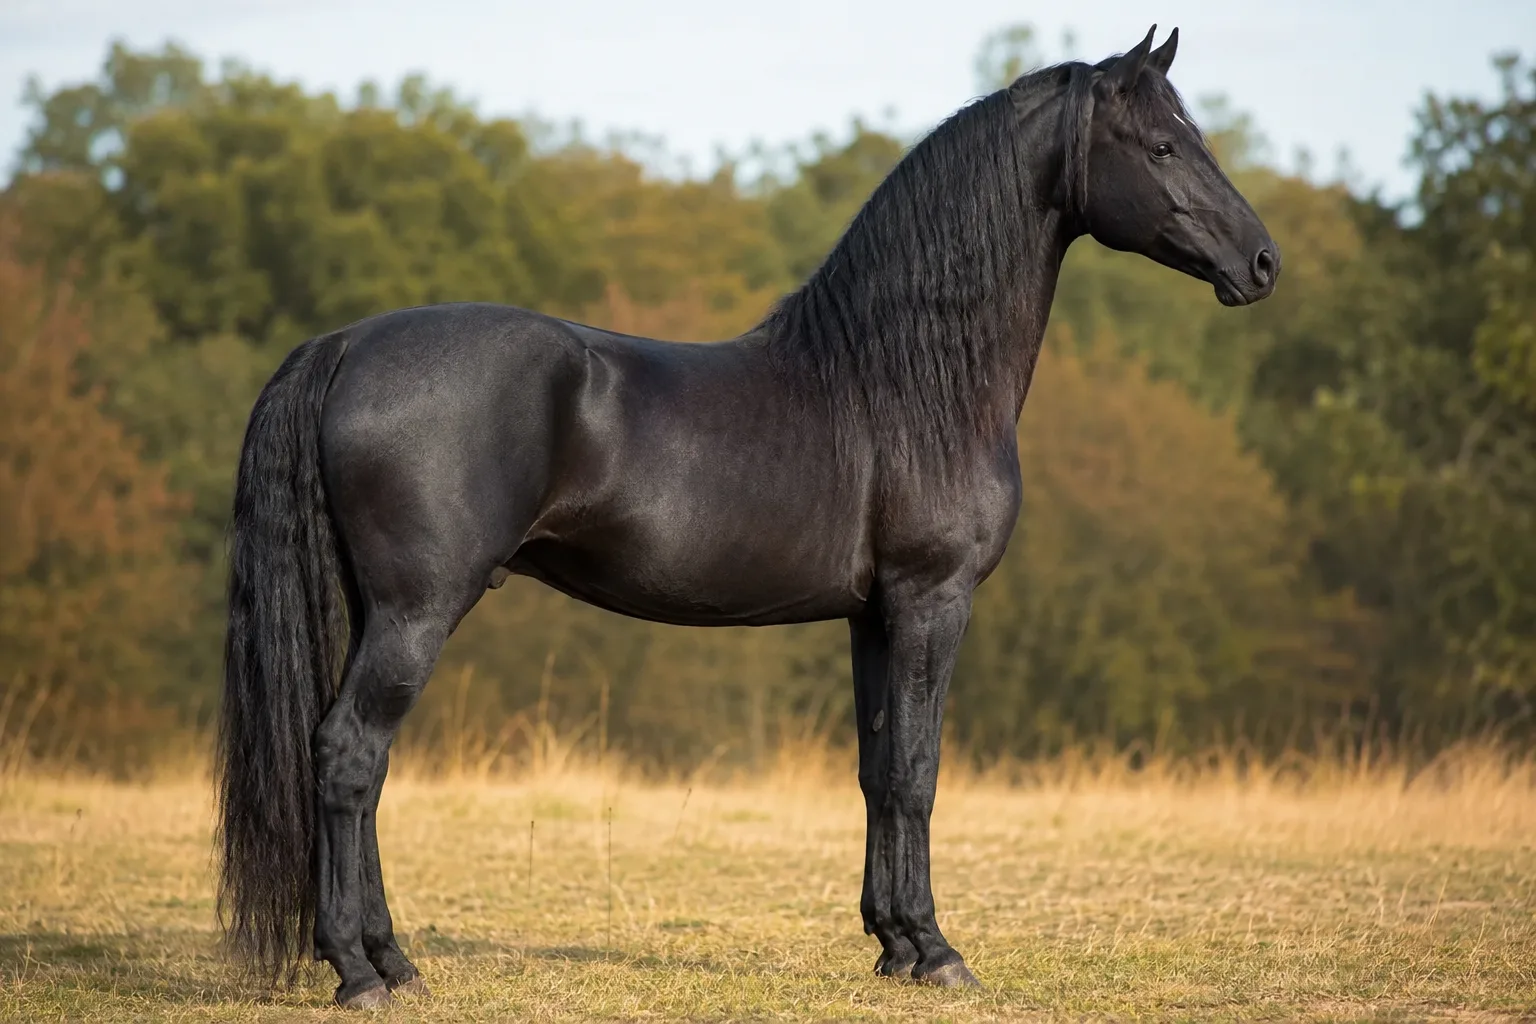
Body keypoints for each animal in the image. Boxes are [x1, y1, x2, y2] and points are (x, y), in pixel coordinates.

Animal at [215, 25, 1279, 1008]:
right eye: (1163, 145)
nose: (1263, 262)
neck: (904, 382)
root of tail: (346, 344)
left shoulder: (873, 615)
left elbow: (877, 768)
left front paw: (893, 944)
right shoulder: (933, 599)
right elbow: (918, 770)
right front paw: (939, 955)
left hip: (380, 609)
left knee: (363, 764)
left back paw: (395, 961)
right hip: (418, 610)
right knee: (349, 754)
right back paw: (359, 973)